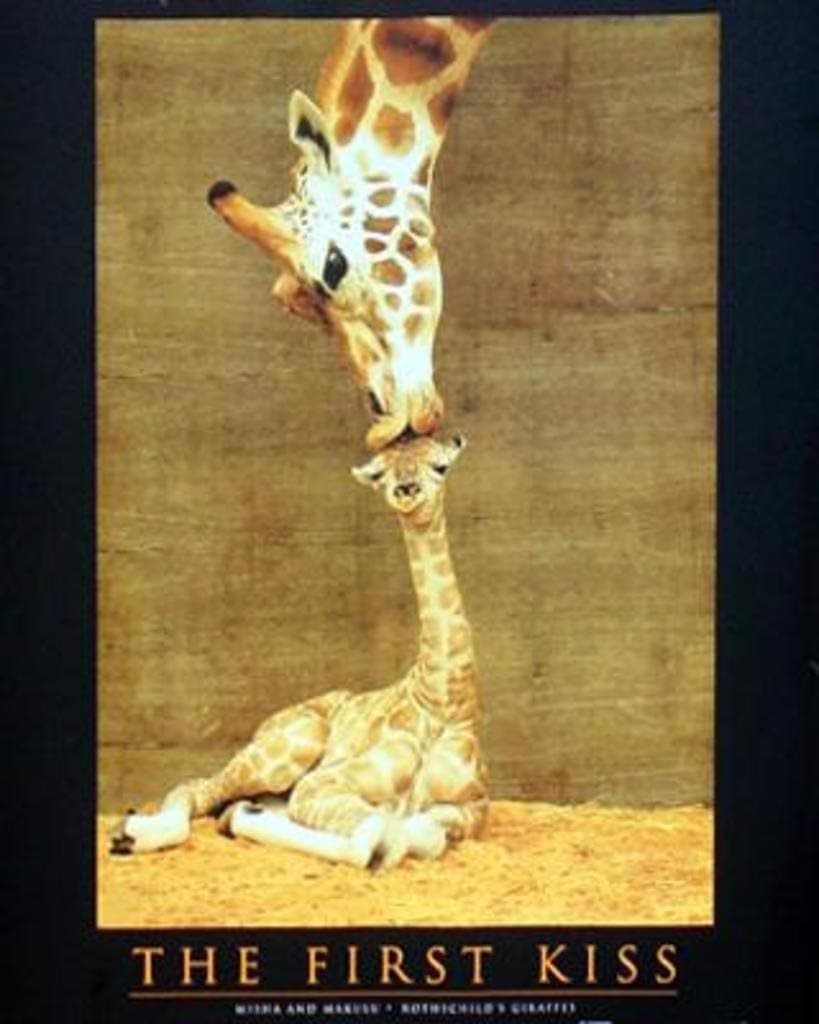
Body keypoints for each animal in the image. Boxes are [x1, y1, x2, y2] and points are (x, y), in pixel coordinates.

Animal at [110, 434, 487, 869]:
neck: (444, 699)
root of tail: (265, 726)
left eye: (440, 466)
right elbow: (377, 837)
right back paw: (131, 833)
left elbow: (424, 833)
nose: (406, 490)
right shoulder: (321, 782)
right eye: (381, 474)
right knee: (198, 787)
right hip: (292, 745)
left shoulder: (475, 809)